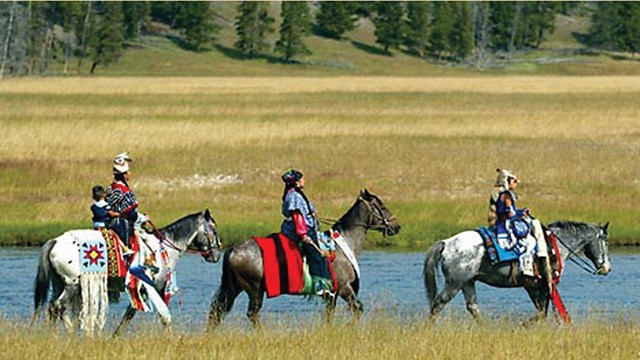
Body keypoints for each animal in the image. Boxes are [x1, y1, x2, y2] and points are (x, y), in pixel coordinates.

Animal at [33, 210, 222, 336]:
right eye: (214, 230)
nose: (216, 255)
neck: (164, 248)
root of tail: (55, 241)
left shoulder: (143, 289)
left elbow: (129, 316)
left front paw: (115, 337)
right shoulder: (152, 287)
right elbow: (164, 315)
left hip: (60, 283)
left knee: (54, 307)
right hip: (72, 285)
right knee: (57, 306)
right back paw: (65, 334)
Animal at [208, 190, 400, 330]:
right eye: (381, 206)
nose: (396, 226)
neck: (344, 244)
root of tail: (233, 249)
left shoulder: (332, 293)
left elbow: (330, 314)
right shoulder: (345, 288)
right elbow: (358, 308)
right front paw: (347, 327)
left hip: (235, 287)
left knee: (218, 310)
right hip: (254, 290)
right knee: (252, 314)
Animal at [424, 219, 608, 324]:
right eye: (606, 243)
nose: (606, 267)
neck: (553, 244)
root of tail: (447, 243)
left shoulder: (533, 286)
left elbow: (541, 311)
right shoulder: (544, 285)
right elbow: (542, 312)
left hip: (467, 282)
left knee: (473, 307)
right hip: (455, 283)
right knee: (438, 304)